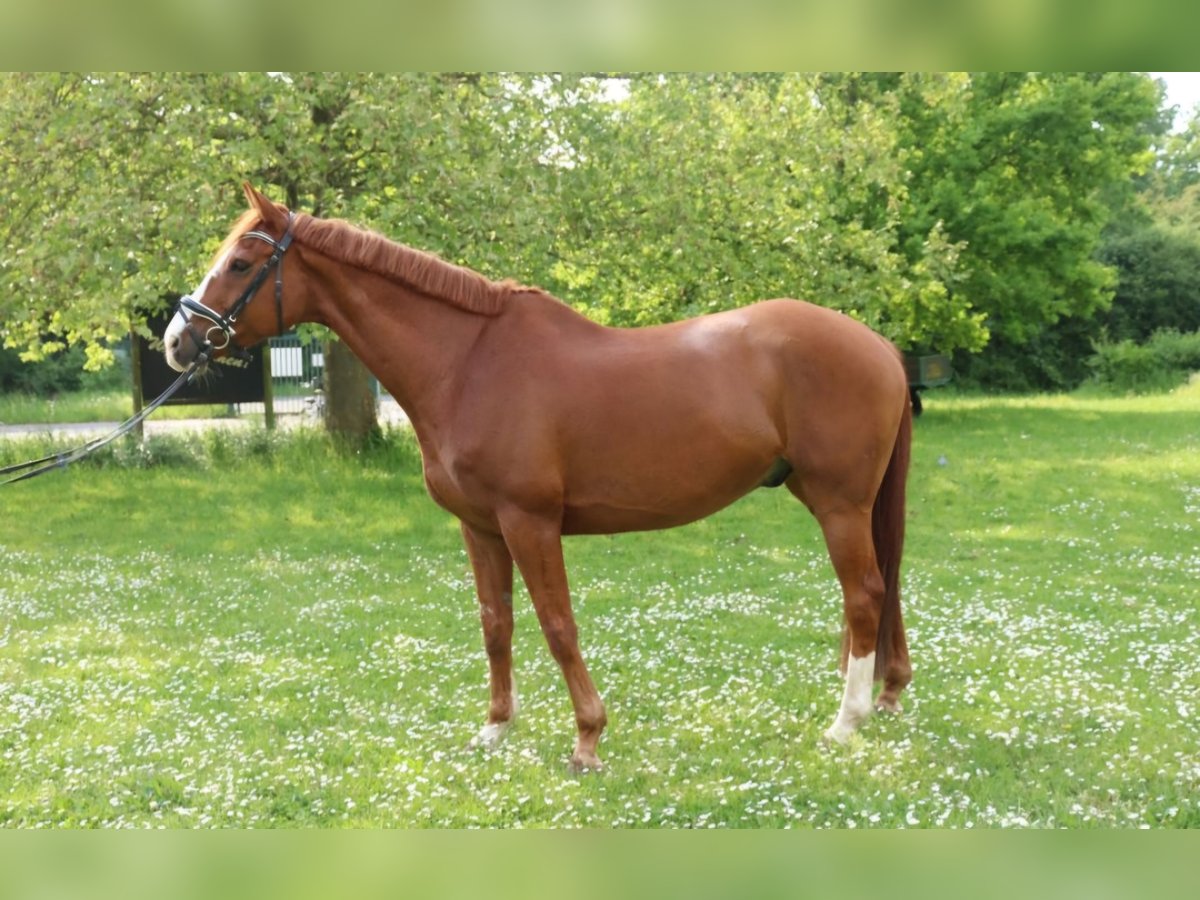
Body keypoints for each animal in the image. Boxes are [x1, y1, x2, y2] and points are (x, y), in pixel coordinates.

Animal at [164, 184, 912, 777]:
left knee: (863, 595)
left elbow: (557, 624)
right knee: (879, 592)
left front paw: (587, 741)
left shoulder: (530, 521)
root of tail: (879, 346)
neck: (467, 362)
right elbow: (497, 623)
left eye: (240, 263)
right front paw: (495, 729)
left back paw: (844, 722)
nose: (176, 341)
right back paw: (884, 696)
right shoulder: (480, 527)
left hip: (839, 504)